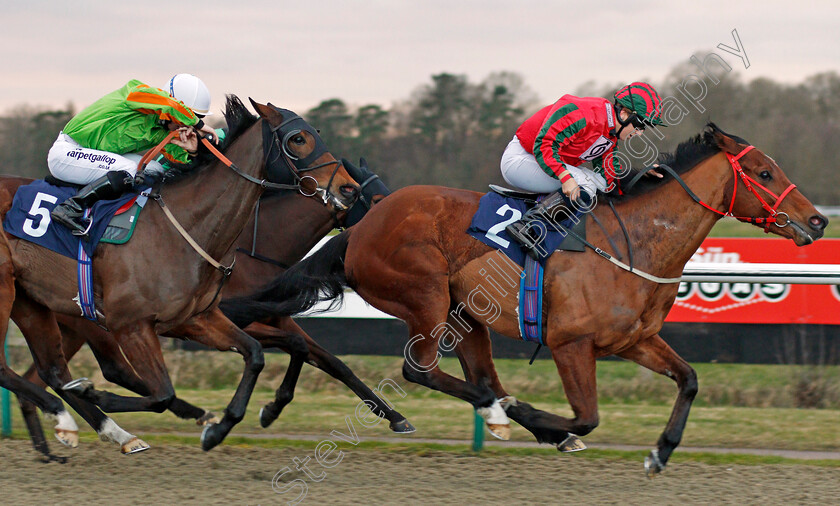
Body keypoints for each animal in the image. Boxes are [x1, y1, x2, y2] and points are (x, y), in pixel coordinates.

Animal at [0, 95, 358, 450]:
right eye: (298, 139)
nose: (349, 188)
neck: (186, 227)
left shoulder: (194, 318)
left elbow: (255, 355)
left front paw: (220, 428)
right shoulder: (131, 325)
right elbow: (162, 394)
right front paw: (93, 391)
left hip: (32, 302)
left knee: (53, 370)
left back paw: (88, 425)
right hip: (14, 295)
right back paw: (72, 414)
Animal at [221, 124, 828, 476]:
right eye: (764, 171)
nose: (818, 221)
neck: (635, 242)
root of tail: (364, 223)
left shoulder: (635, 340)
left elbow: (691, 379)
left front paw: (660, 452)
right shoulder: (570, 343)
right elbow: (587, 417)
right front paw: (543, 420)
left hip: (467, 316)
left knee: (474, 373)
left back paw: (504, 414)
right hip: (425, 296)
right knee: (421, 370)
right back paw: (502, 412)